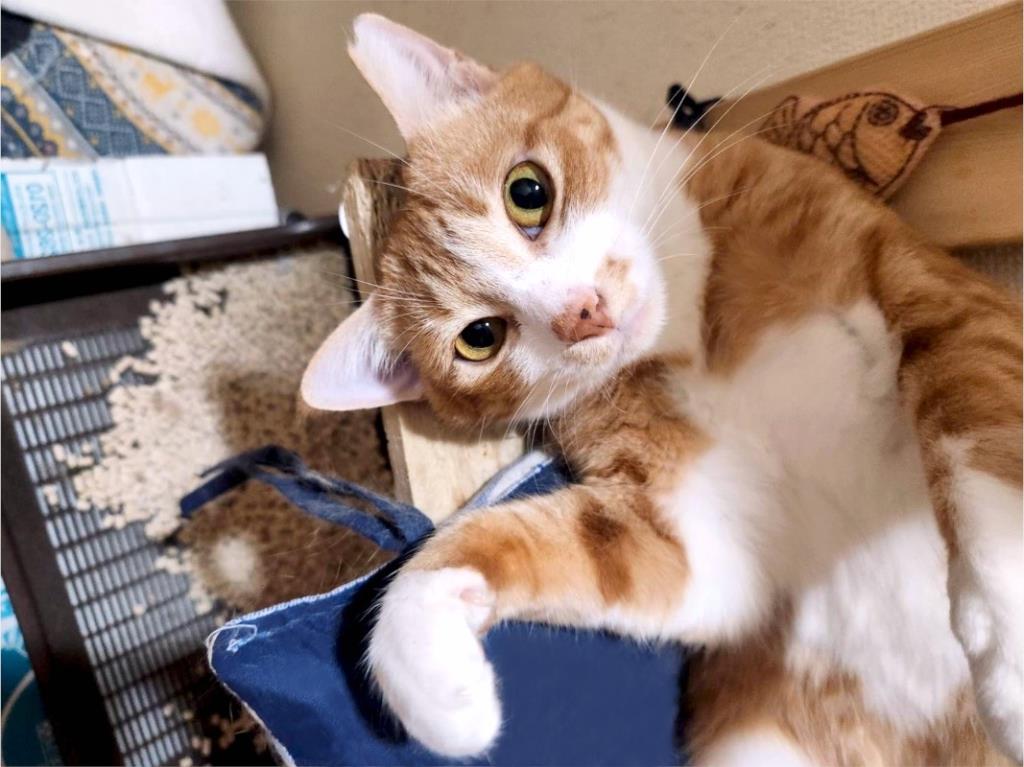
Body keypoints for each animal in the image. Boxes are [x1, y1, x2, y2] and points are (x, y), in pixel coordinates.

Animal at [301, 14, 1022, 766]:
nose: (580, 313)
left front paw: (1008, 643)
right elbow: (530, 542)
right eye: (480, 338)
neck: (693, 335)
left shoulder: (944, 304)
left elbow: (976, 438)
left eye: (527, 192)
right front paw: (428, 670)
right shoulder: (705, 542)